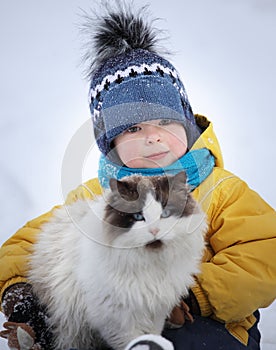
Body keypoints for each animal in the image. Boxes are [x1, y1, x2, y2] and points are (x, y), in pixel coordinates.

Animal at [28, 172, 207, 350]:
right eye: (138, 216)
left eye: (165, 214)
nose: (155, 230)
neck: (151, 265)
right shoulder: (117, 319)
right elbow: (133, 342)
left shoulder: (156, 310)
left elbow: (152, 334)